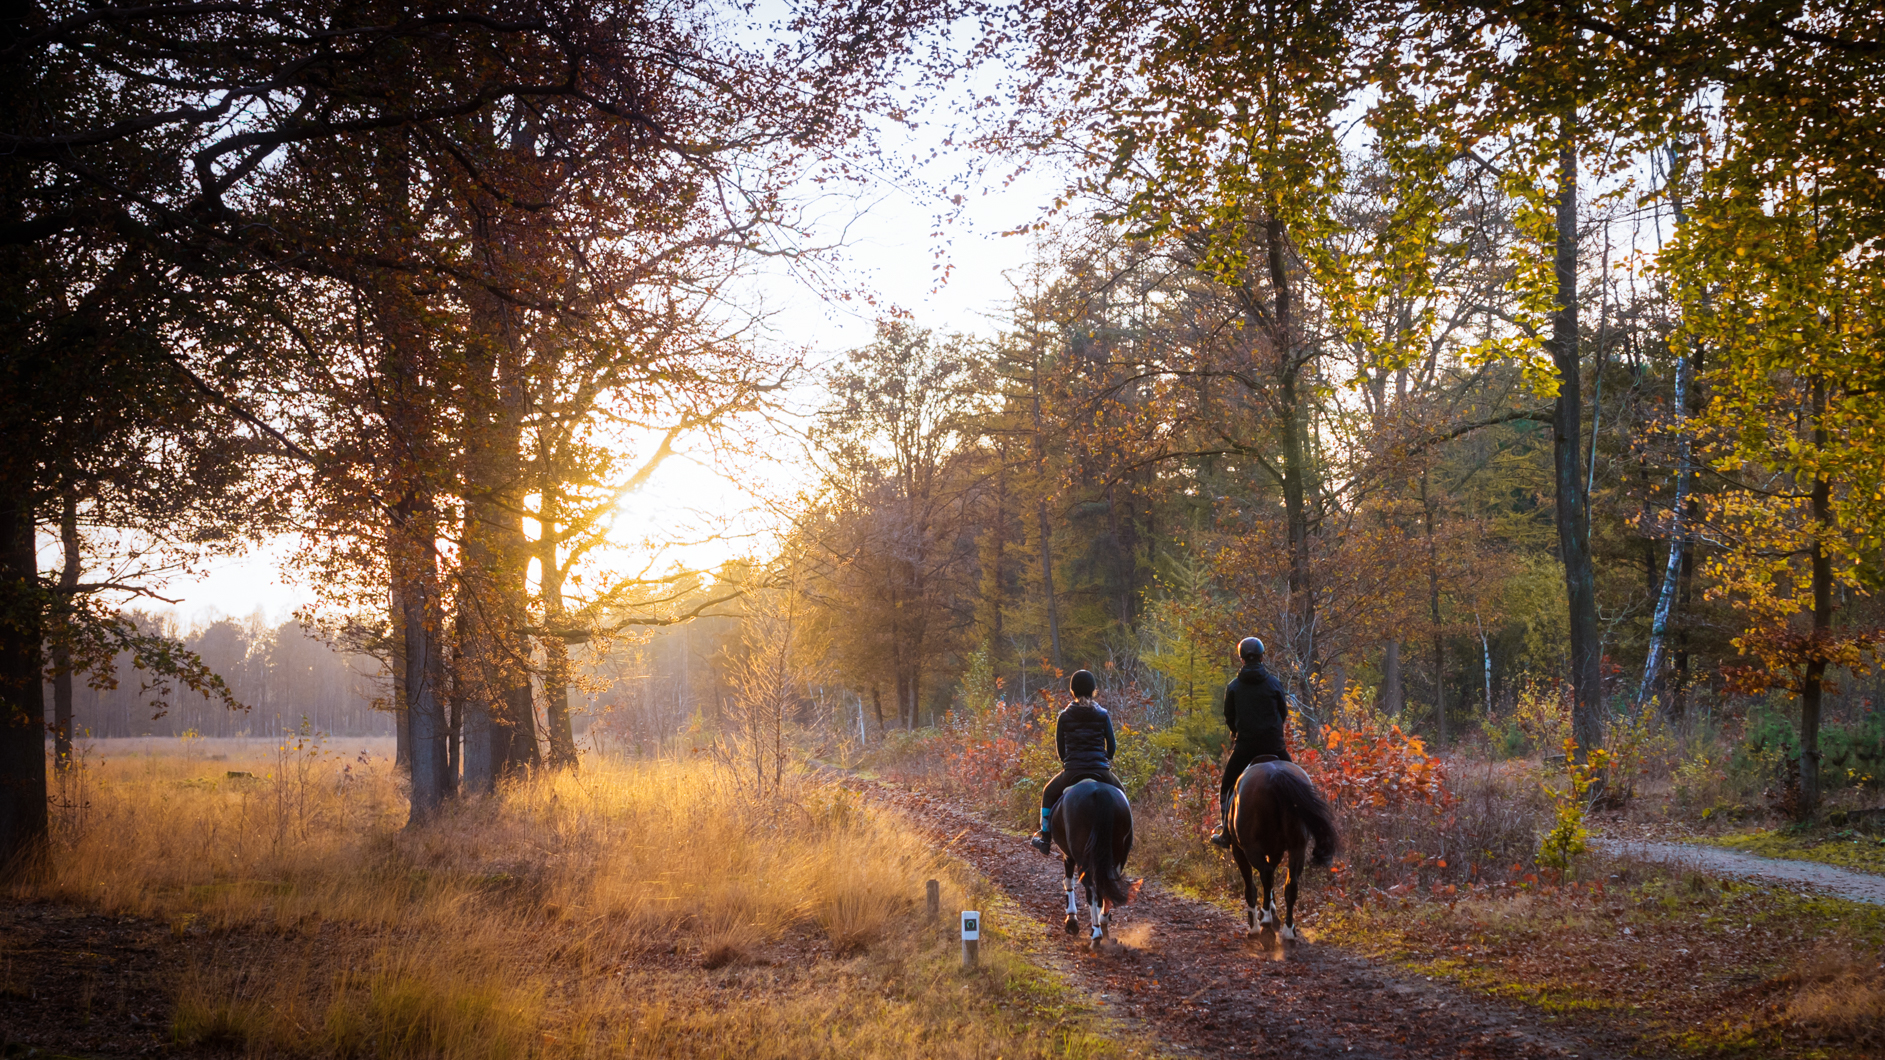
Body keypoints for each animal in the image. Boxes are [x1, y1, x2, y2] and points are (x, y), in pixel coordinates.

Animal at [1049, 778, 1137, 947]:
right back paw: (1103, 925)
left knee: (1092, 892)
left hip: (1083, 858)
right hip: (1117, 856)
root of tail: (1100, 792)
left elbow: (1068, 882)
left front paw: (1071, 921)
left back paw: (1096, 934)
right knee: (1106, 887)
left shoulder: (1068, 855)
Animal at [1227, 757, 1339, 945]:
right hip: (1297, 848)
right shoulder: (1276, 851)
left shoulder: (1239, 851)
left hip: (1251, 848)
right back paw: (1288, 930)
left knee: (1266, 875)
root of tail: (1276, 775)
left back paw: (1265, 924)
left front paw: (1255, 925)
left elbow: (1251, 888)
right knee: (1290, 885)